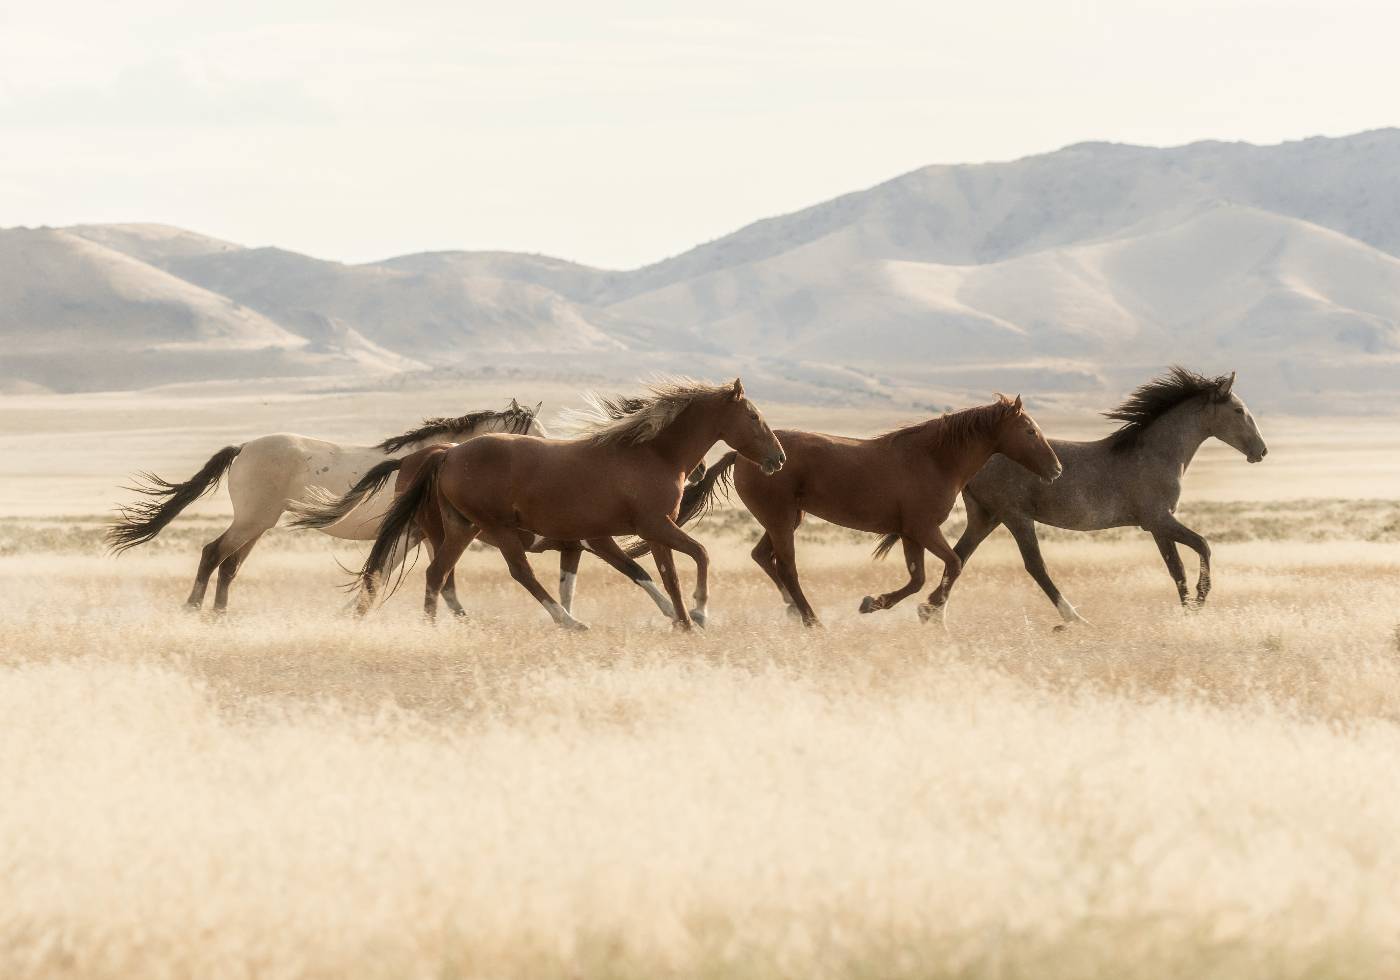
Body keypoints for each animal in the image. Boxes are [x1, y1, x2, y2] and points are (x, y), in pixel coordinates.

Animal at [350, 375, 789, 627]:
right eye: (753, 417)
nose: (778, 458)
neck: (653, 453)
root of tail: (447, 454)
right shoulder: (651, 526)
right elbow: (699, 555)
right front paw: (699, 612)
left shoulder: (640, 533)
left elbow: (662, 575)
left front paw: (681, 622)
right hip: (495, 527)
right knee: (519, 573)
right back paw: (567, 622)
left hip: (461, 527)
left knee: (437, 575)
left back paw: (433, 629)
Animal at [655, 392, 1058, 627]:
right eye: (1030, 432)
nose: (1056, 469)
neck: (934, 459)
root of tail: (744, 455)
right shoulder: (924, 529)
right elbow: (953, 565)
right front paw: (922, 609)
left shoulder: (911, 533)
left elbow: (918, 578)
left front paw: (876, 603)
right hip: (781, 520)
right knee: (786, 567)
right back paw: (812, 620)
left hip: (786, 519)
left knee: (762, 557)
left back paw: (794, 612)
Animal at [862, 366, 1271, 627]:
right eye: (1239, 410)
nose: (1261, 451)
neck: (1157, 452)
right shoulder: (1159, 519)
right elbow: (1201, 548)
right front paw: (1199, 603)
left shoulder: (1156, 526)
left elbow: (1177, 568)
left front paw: (1188, 610)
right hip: (1014, 516)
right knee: (1035, 566)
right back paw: (1073, 619)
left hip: (986, 517)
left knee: (959, 558)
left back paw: (929, 614)